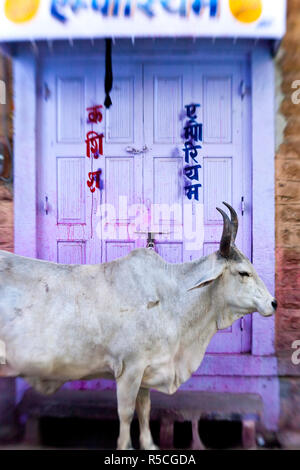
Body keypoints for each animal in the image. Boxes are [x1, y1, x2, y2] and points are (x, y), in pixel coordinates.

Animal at [0, 202, 276, 448]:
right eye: (243, 272)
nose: (273, 303)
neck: (171, 300)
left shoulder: (146, 369)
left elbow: (145, 409)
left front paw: (149, 444)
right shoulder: (128, 368)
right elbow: (126, 413)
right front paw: (126, 446)